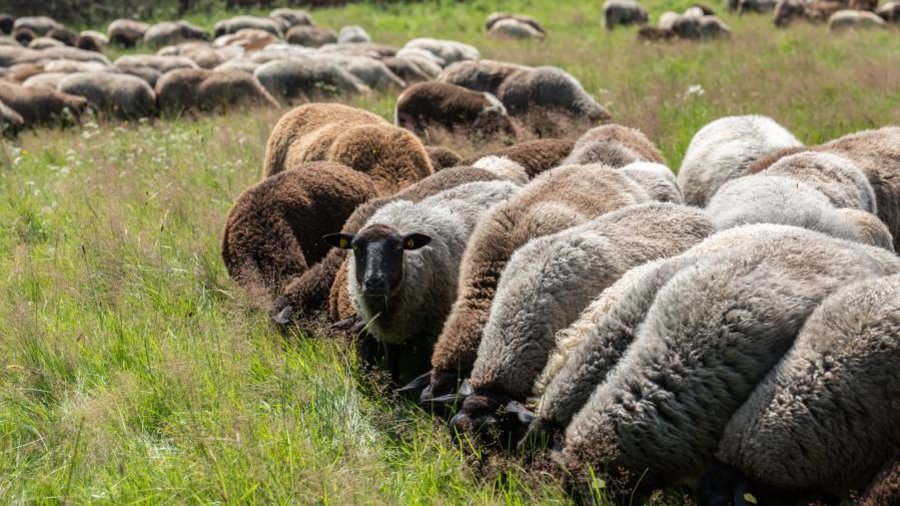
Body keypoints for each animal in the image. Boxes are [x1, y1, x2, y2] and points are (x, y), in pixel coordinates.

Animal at [326, 181, 520, 382]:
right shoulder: (387, 333)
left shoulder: (435, 326)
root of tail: (503, 183)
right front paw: (392, 386)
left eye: (398, 247)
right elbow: (391, 362)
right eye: (356, 247)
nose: (374, 283)